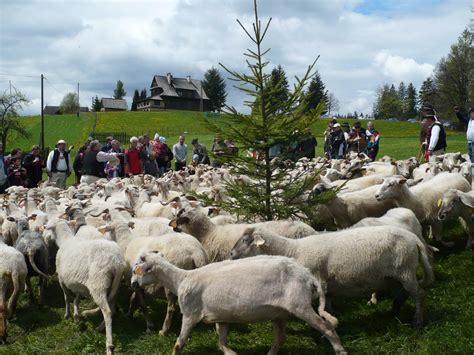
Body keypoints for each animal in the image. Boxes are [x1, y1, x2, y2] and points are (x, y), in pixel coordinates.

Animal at [131, 253, 346, 355]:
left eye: (137, 269)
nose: (133, 284)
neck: (181, 279)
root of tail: (308, 275)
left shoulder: (190, 315)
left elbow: (178, 344)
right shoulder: (221, 317)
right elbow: (222, 342)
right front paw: (231, 352)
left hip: (300, 305)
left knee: (327, 328)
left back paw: (340, 350)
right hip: (279, 313)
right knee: (280, 339)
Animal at [230, 227, 434, 326]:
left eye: (246, 240)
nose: (231, 254)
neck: (292, 250)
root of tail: (415, 239)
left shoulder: (318, 281)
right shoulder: (325, 285)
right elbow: (327, 304)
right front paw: (331, 319)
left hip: (404, 269)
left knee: (419, 294)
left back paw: (417, 320)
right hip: (399, 273)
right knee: (407, 291)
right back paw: (396, 308)